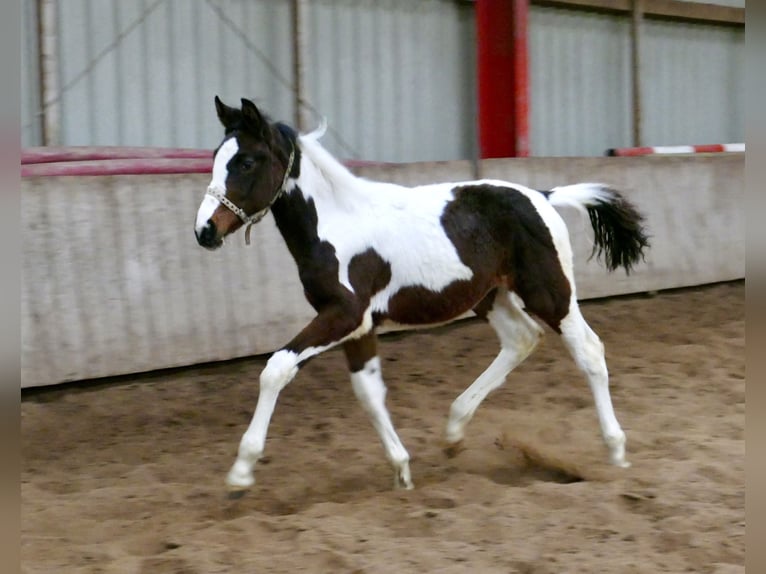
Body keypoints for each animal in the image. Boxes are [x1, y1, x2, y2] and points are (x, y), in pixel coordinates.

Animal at [195, 97, 652, 498]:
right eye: (216, 157)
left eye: (246, 162)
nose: (204, 231)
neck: (337, 222)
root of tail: (542, 196)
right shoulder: (359, 325)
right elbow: (368, 392)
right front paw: (402, 471)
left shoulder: (343, 314)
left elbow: (276, 369)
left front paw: (240, 472)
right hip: (490, 295)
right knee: (521, 339)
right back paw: (453, 431)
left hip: (550, 293)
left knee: (588, 350)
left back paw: (616, 452)